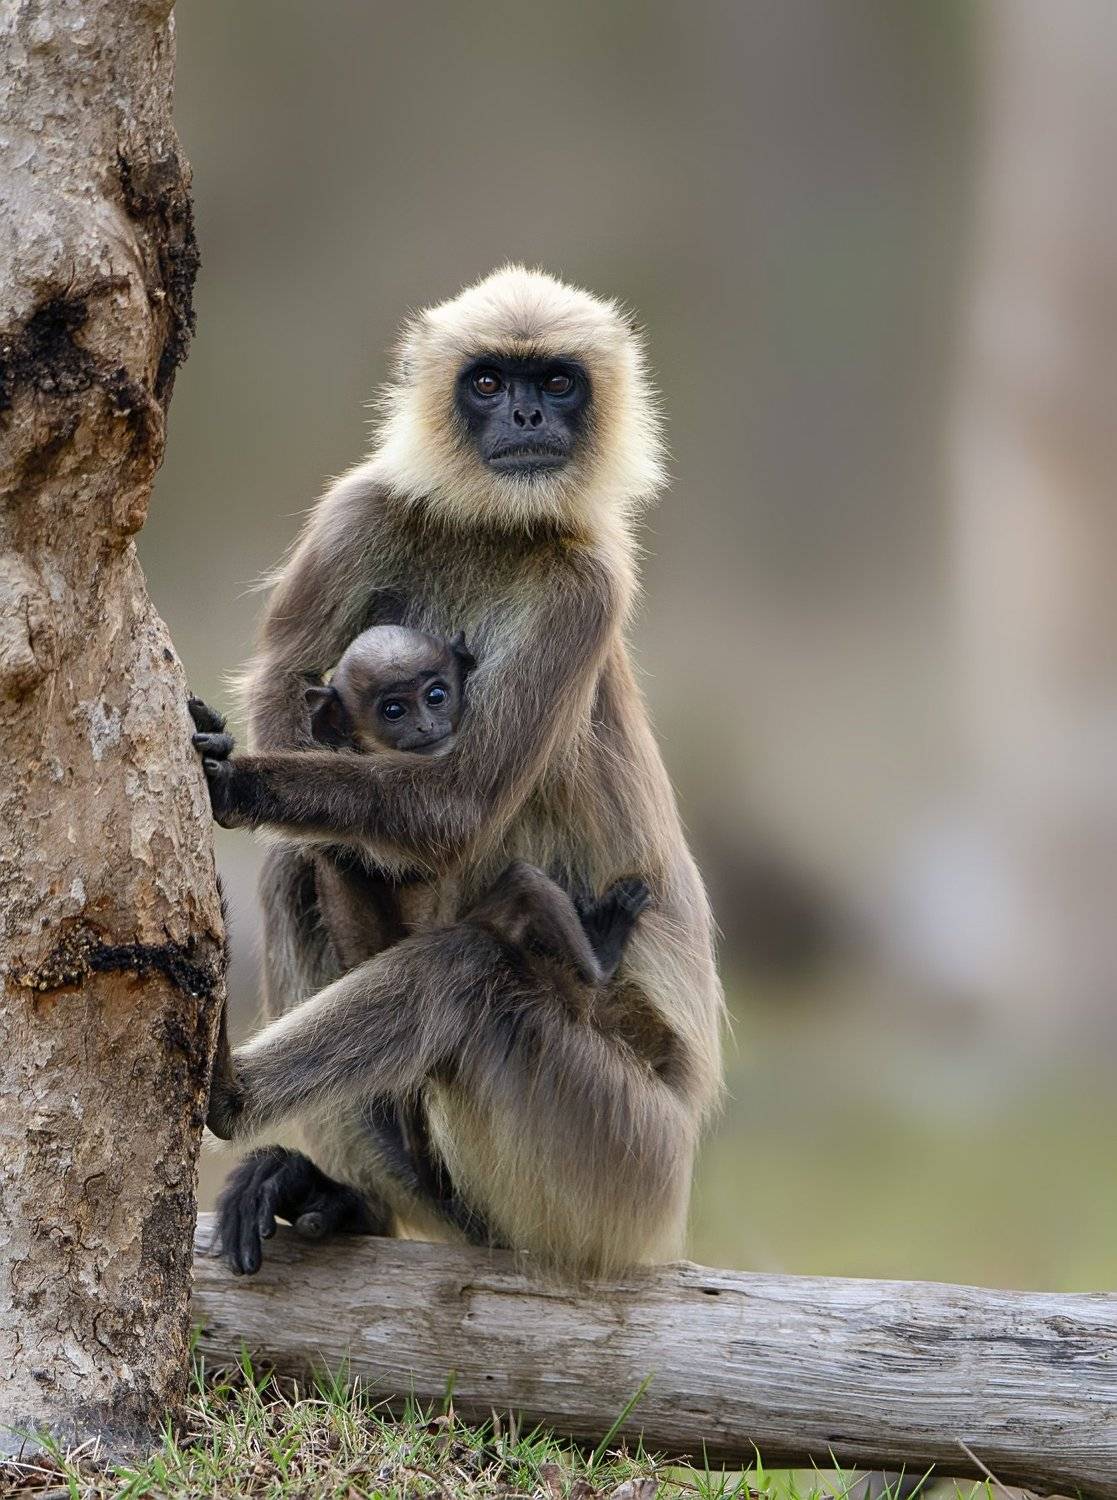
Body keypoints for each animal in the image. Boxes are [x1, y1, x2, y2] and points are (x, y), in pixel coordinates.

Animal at [190, 265, 724, 1280]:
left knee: (463, 975)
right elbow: (287, 690)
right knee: (296, 873)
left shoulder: (585, 587)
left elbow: (457, 807)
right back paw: (349, 1195)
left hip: (619, 1157)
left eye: (554, 381)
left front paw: (236, 788)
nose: (523, 413)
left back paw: (231, 1096)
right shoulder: (358, 510)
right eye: (486, 382)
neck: (493, 529)